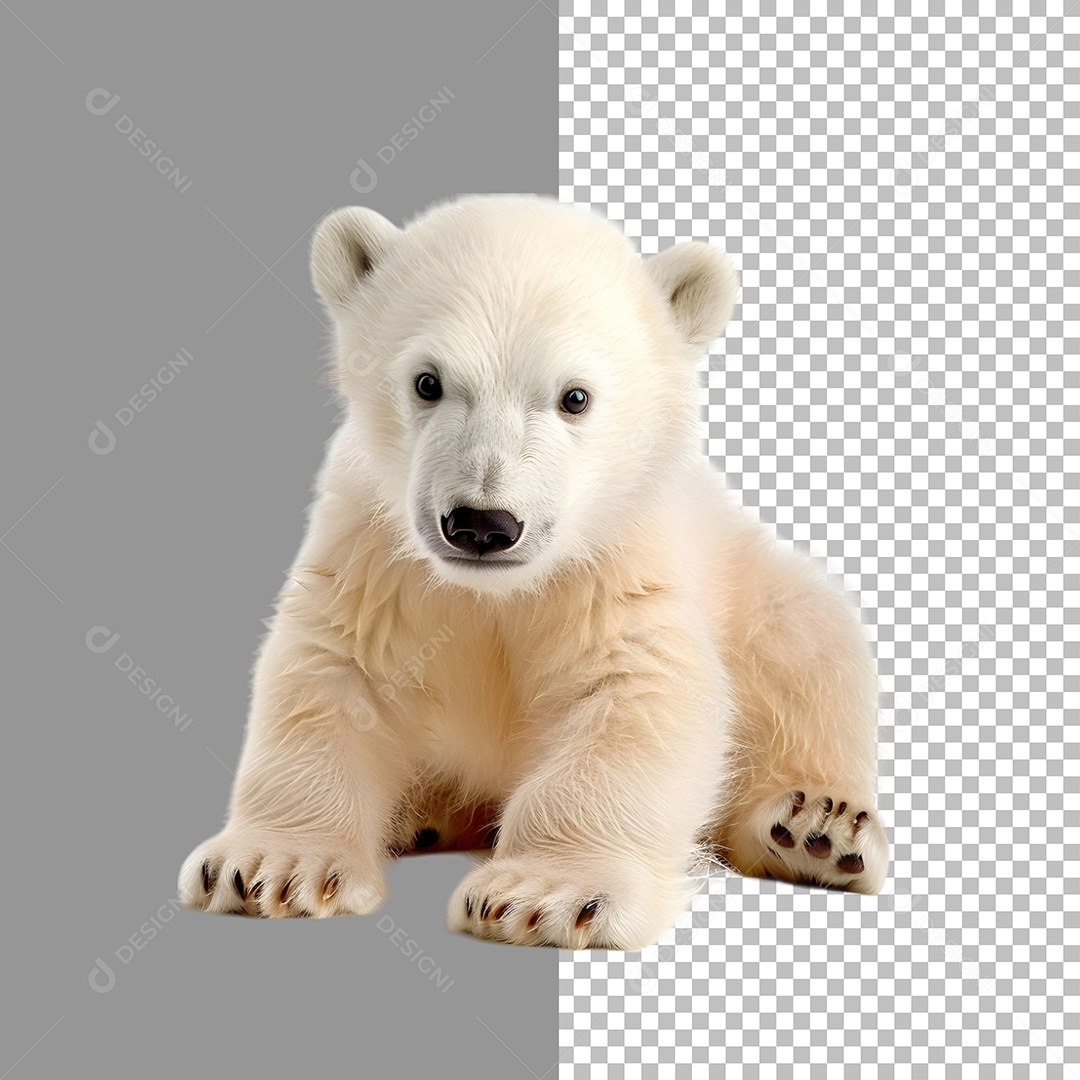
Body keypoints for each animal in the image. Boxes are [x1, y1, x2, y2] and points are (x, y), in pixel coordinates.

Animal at [178, 194, 888, 950]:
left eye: (575, 397)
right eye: (427, 382)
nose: (482, 524)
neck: (496, 589)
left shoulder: (620, 559)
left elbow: (637, 692)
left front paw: (541, 894)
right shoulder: (377, 555)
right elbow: (333, 671)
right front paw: (271, 867)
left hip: (754, 586)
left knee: (807, 645)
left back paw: (813, 828)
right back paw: (421, 812)